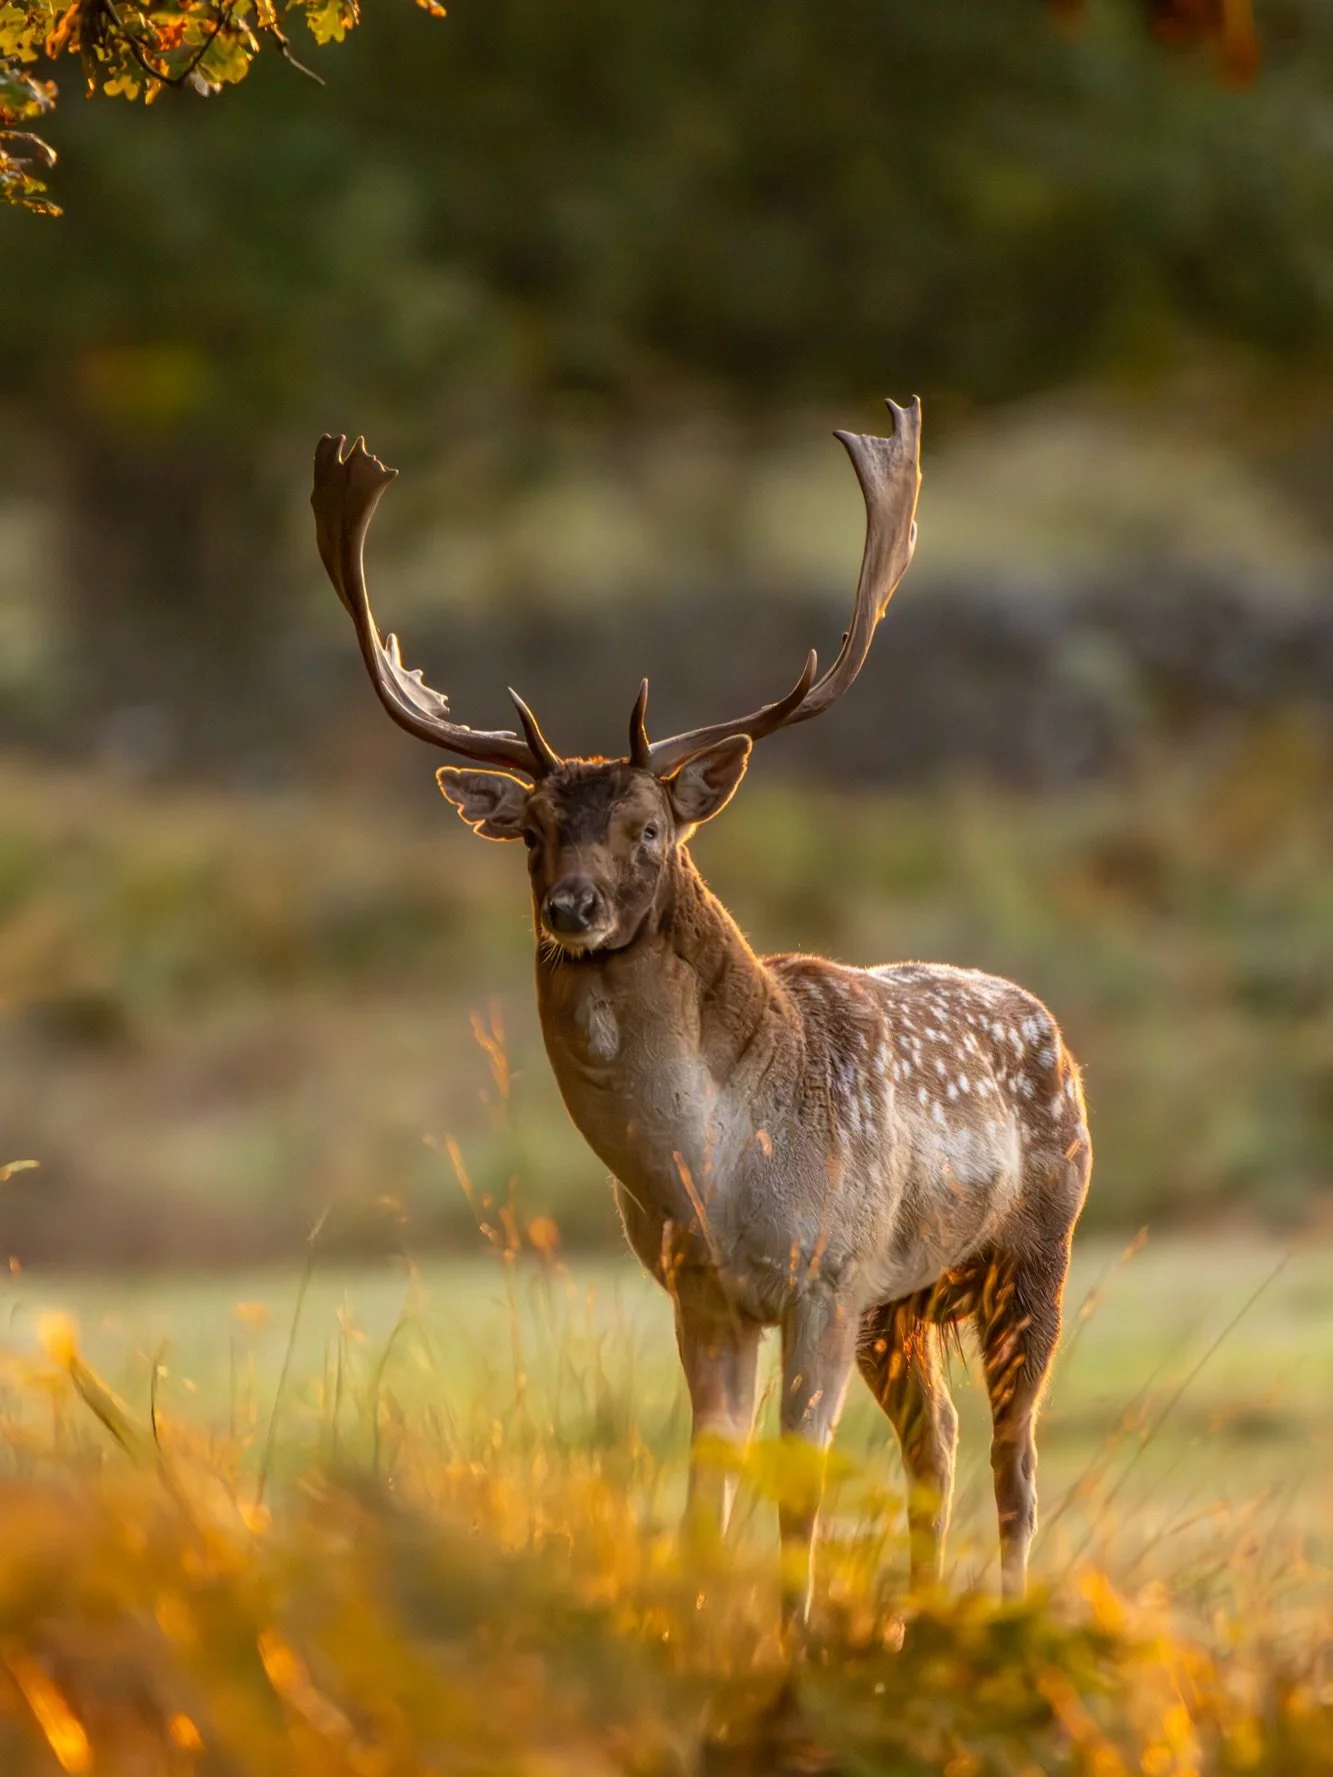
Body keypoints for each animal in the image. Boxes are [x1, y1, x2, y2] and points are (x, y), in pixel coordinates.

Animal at [310, 399, 1092, 1626]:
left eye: (648, 828)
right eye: (534, 831)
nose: (573, 908)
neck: (714, 1175)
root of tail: (1050, 1026)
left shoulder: (823, 1274)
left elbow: (797, 1493)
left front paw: (794, 1641)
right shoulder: (703, 1294)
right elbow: (703, 1498)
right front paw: (704, 1629)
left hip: (1031, 1253)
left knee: (1014, 1458)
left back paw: (999, 1615)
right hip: (902, 1301)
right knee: (938, 1438)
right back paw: (918, 1618)